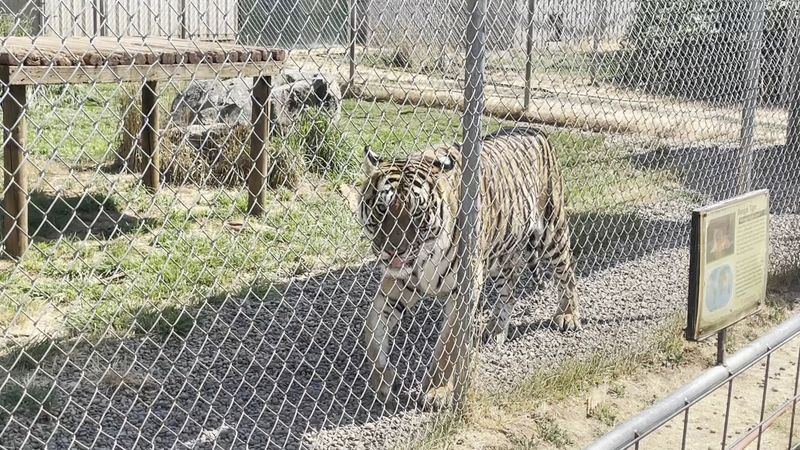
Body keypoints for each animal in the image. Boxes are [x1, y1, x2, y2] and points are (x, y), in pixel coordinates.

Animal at [356, 125, 582, 406]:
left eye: (417, 213)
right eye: (381, 208)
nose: (393, 250)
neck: (424, 258)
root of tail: (534, 129)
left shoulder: (464, 288)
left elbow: (448, 344)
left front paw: (437, 390)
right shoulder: (399, 285)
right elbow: (371, 329)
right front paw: (383, 381)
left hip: (552, 231)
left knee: (566, 272)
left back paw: (568, 315)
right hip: (499, 256)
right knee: (510, 286)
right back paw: (496, 329)